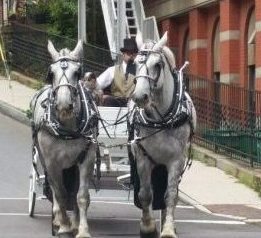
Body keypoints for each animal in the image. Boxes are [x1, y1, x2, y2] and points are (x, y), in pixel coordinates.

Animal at [30, 40, 97, 237]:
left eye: (77, 73)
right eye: (51, 74)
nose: (64, 104)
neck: (67, 129)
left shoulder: (86, 158)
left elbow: (81, 195)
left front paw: (81, 229)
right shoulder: (52, 162)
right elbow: (60, 193)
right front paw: (64, 226)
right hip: (44, 159)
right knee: (55, 189)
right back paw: (58, 220)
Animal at [131, 32, 196, 238]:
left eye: (157, 65)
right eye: (134, 63)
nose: (140, 97)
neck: (161, 119)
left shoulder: (176, 160)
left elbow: (171, 195)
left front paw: (168, 229)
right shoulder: (142, 157)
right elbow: (145, 194)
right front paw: (148, 227)